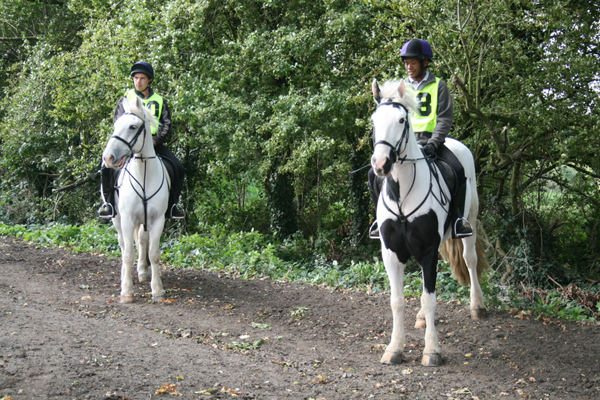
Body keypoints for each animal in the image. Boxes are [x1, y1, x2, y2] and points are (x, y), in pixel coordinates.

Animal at [101, 96, 169, 304]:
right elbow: (128, 254)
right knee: (124, 246)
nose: (108, 157)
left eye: (132, 126)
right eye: (115, 125)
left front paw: (157, 290)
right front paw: (127, 291)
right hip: (117, 219)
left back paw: (143, 272)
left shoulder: (157, 220)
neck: (143, 173)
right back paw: (126, 276)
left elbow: (154, 254)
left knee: (141, 240)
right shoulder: (127, 219)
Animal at [370, 79, 488, 368]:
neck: (402, 192)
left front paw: (432, 350)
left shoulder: (427, 251)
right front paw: (394, 349)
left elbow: (430, 297)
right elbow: (397, 300)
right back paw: (422, 318)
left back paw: (477, 306)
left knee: (470, 260)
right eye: (373, 120)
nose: (381, 164)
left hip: (470, 221)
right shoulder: (391, 253)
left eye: (402, 120)